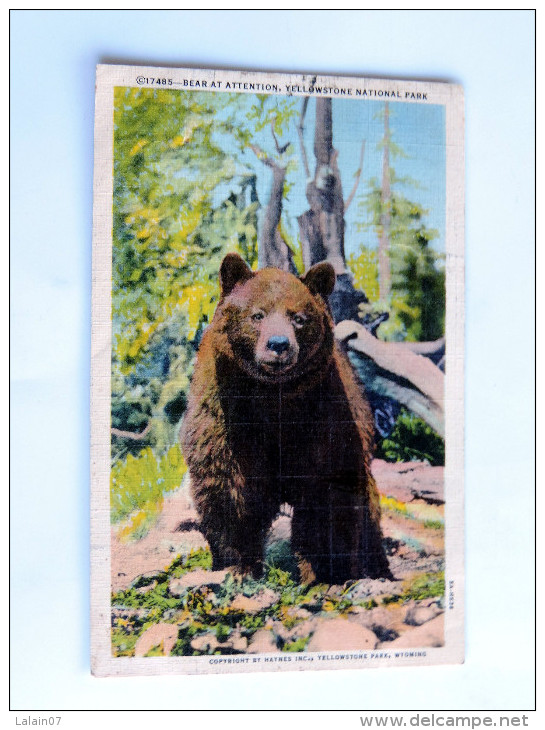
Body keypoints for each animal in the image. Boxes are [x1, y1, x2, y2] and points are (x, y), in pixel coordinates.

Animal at [182, 253, 392, 584]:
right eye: (257, 315)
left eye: (299, 318)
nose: (278, 344)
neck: (273, 396)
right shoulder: (227, 412)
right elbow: (229, 485)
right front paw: (237, 566)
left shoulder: (322, 414)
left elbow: (326, 490)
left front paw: (324, 572)